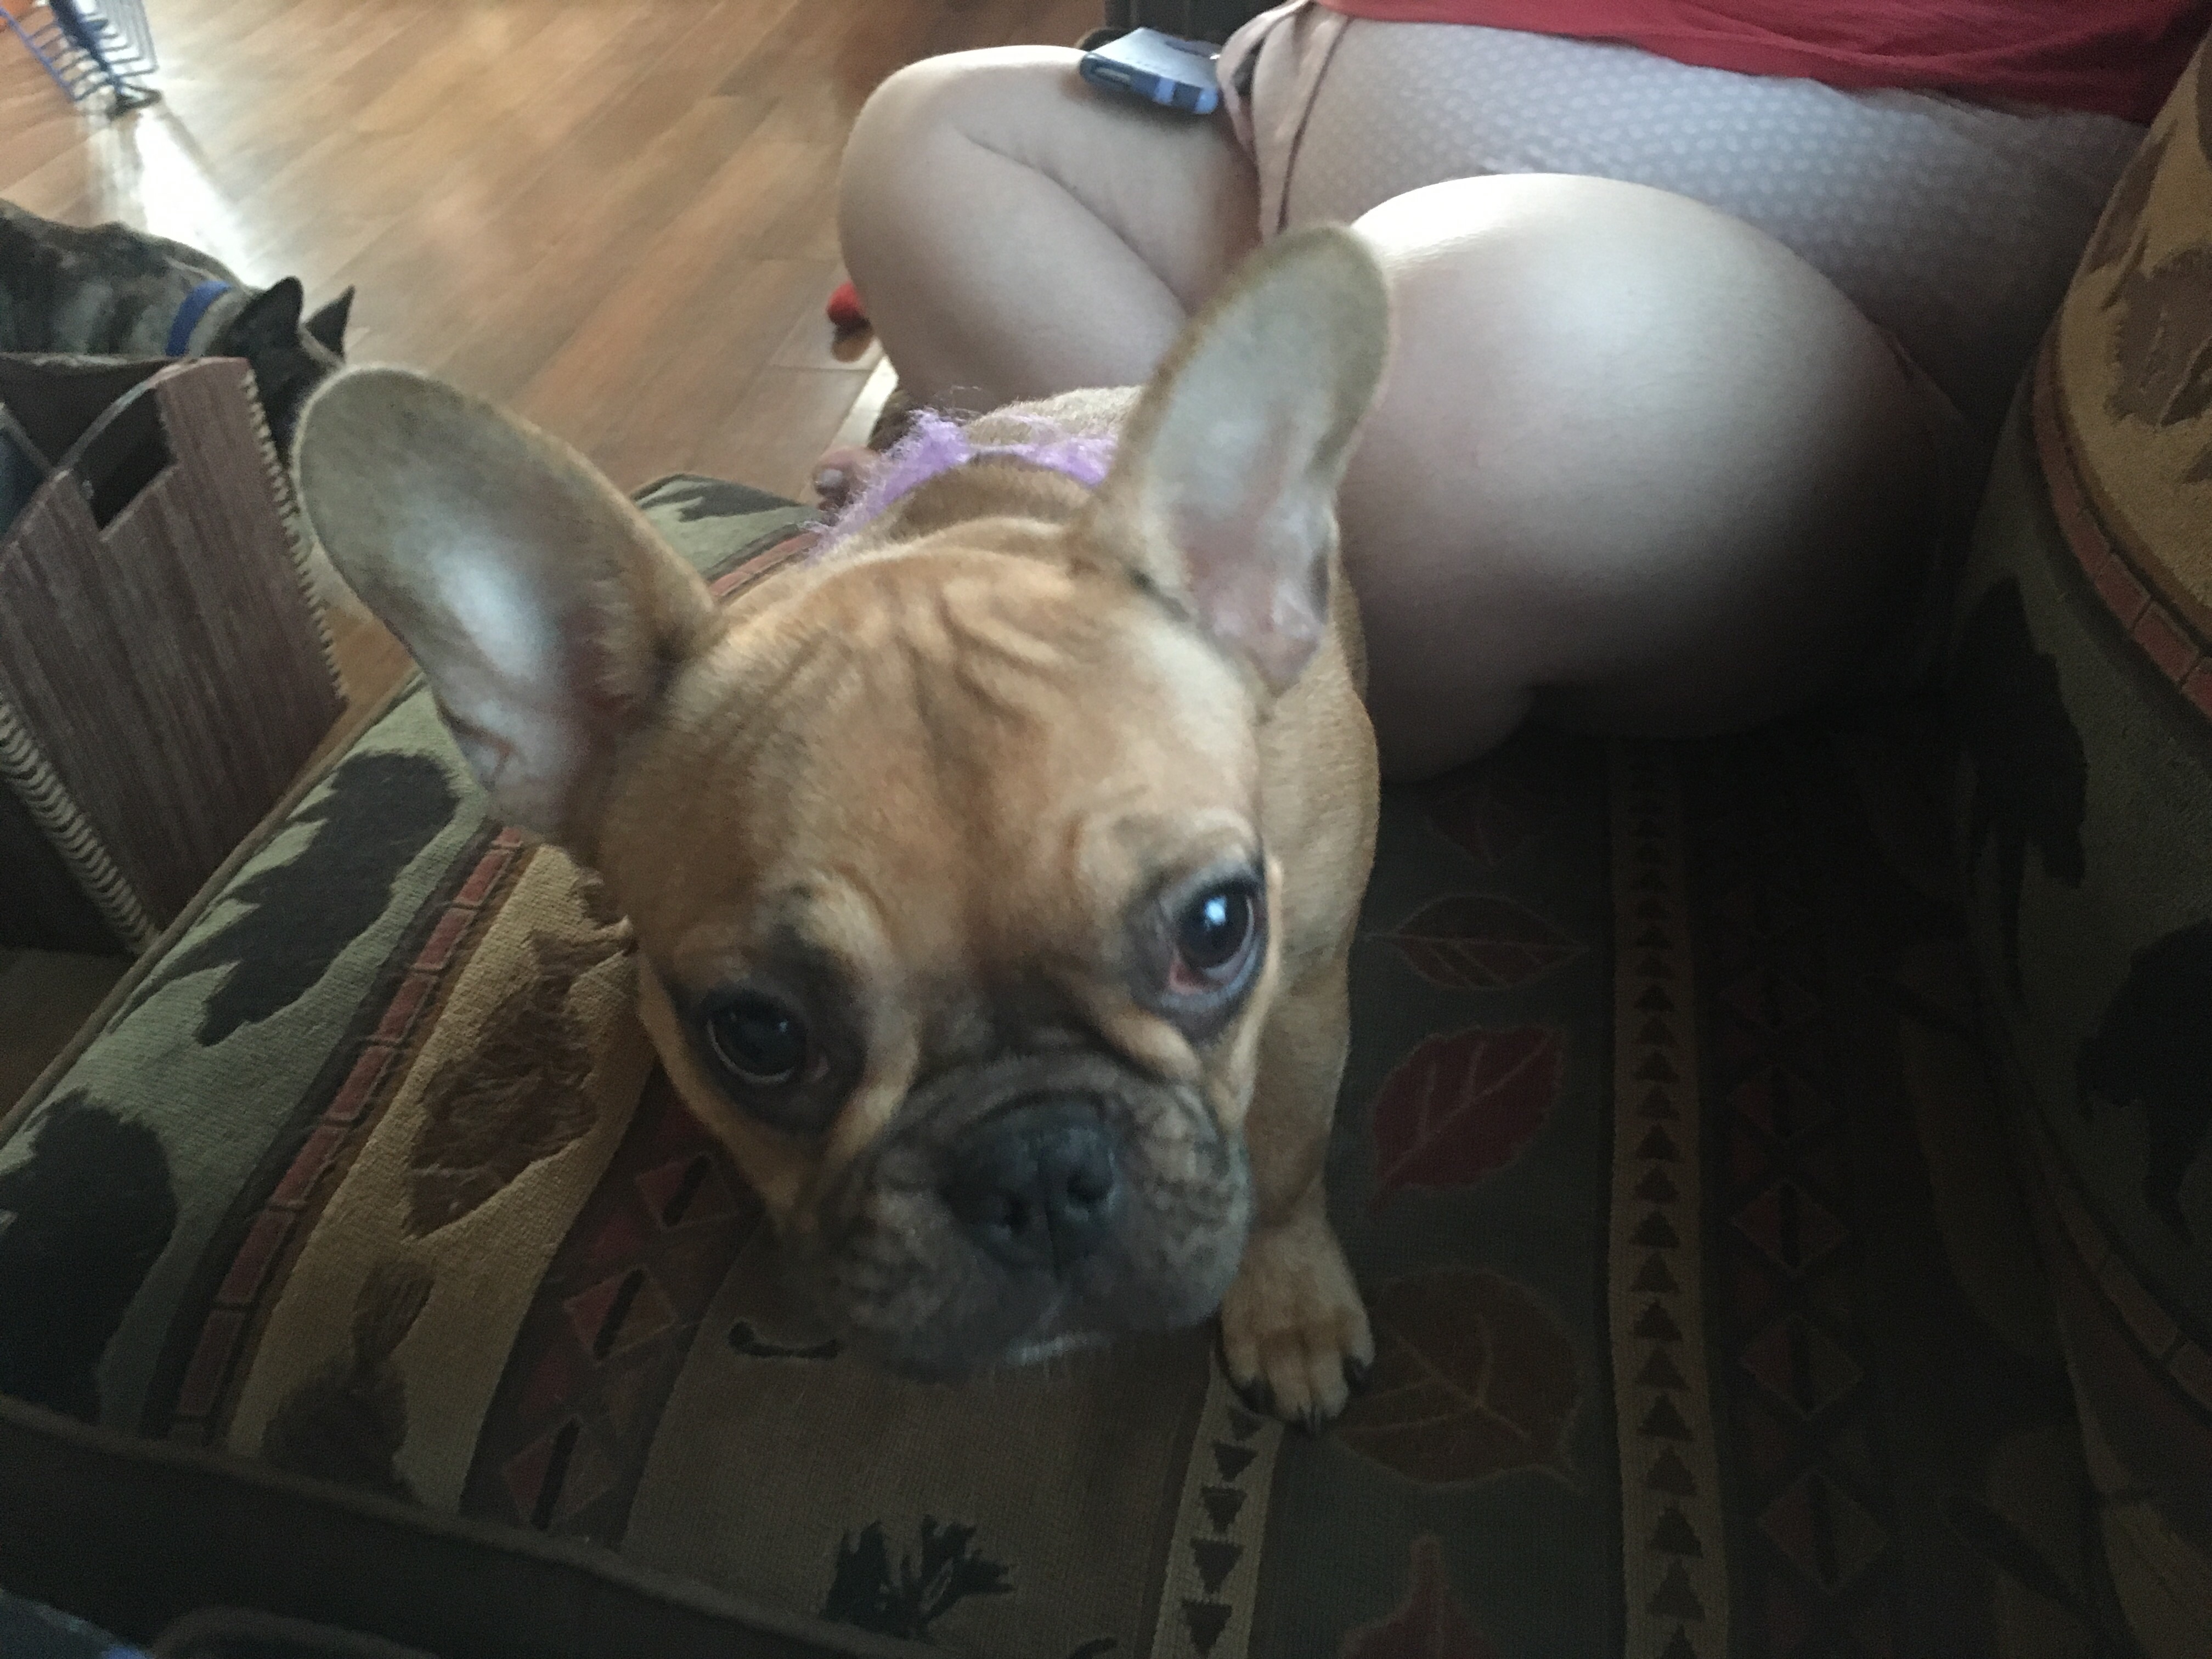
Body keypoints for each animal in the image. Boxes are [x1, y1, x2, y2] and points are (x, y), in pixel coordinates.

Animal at [290, 226, 1391, 1426]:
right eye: (757, 1035)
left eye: (1216, 929)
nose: (1035, 1166)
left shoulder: (1307, 987)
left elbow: (1287, 1152)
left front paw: (1288, 1303)